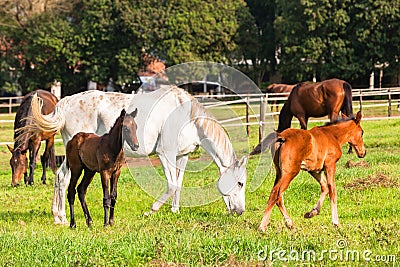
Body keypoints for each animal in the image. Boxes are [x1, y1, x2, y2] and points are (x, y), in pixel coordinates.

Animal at [25, 87, 247, 225]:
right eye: (240, 183)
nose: (240, 211)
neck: (187, 116)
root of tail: (66, 102)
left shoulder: (181, 156)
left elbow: (178, 184)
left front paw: (174, 210)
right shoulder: (165, 154)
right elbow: (171, 185)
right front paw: (151, 210)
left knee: (61, 179)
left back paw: (59, 217)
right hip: (74, 158)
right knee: (63, 179)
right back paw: (62, 218)